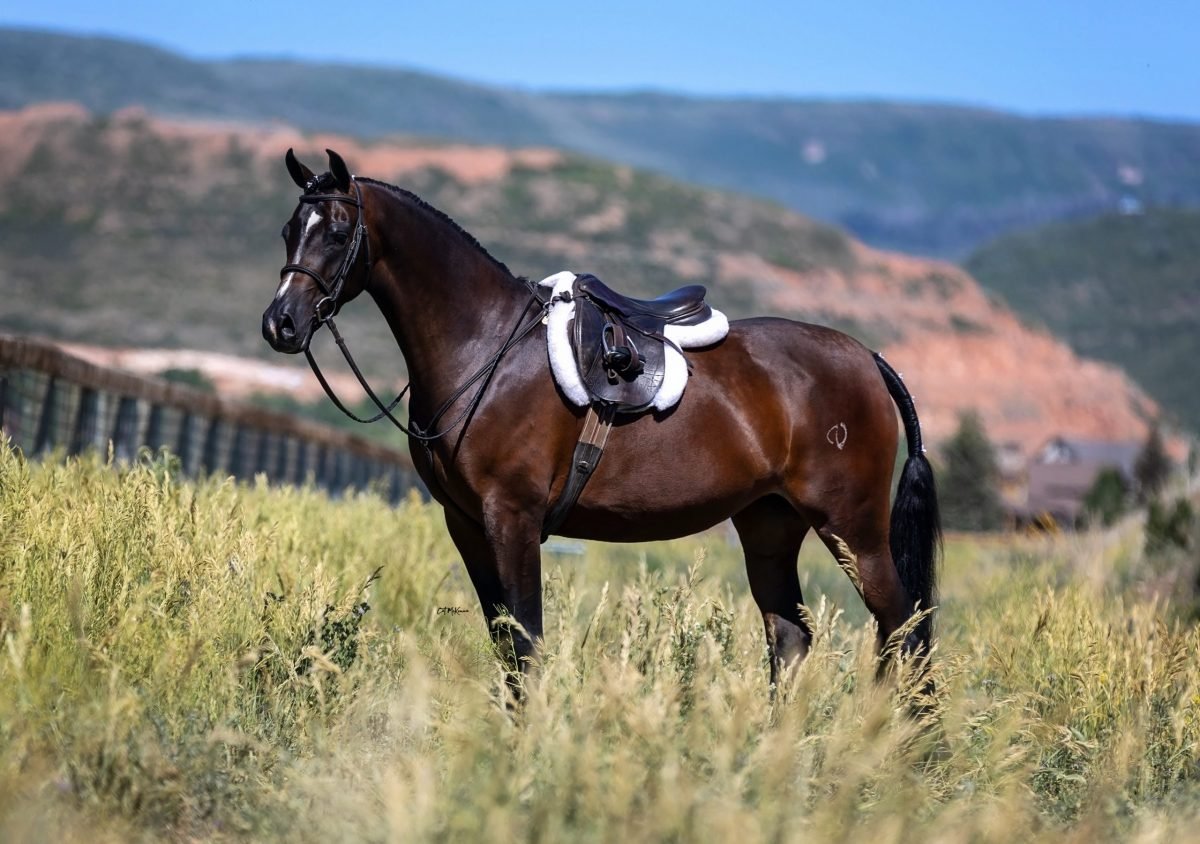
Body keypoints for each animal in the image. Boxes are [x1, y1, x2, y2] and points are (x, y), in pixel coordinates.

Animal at [261, 149, 941, 691]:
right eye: (290, 229)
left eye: (338, 230)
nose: (280, 324)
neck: (485, 346)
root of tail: (867, 358)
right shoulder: (467, 524)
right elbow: (505, 644)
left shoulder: (512, 518)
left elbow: (526, 644)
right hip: (769, 526)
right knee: (793, 638)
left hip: (852, 528)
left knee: (901, 630)